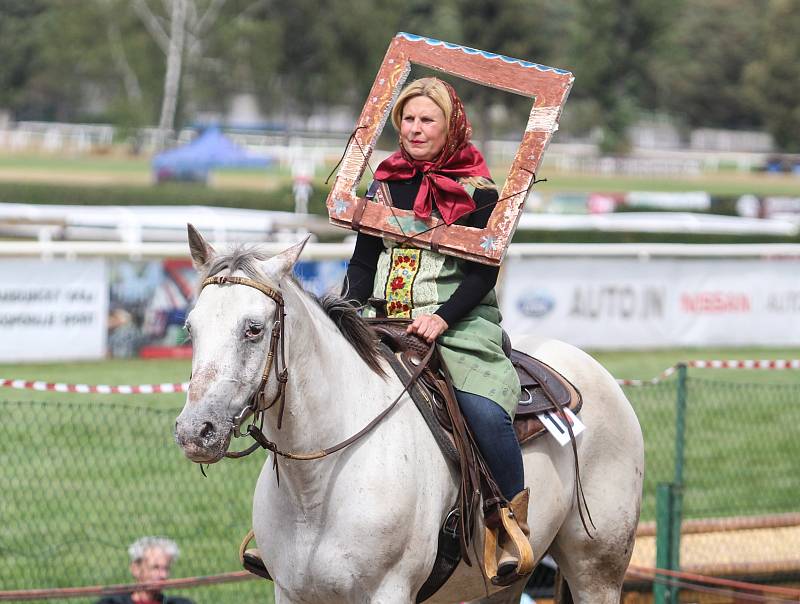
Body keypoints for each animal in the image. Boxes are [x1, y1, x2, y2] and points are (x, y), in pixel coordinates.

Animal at [175, 228, 644, 604]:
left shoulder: (389, 591)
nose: (196, 431)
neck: (317, 488)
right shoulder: (291, 593)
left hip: (598, 569)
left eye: (253, 328)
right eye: (190, 328)